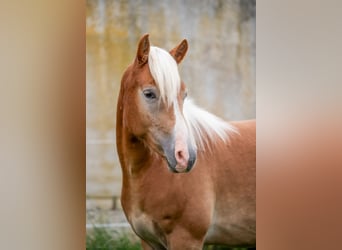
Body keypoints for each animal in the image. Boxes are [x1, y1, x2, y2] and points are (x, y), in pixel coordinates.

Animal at [116, 34, 255, 249]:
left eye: (184, 94)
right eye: (149, 94)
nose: (186, 157)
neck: (147, 173)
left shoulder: (186, 239)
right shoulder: (148, 242)